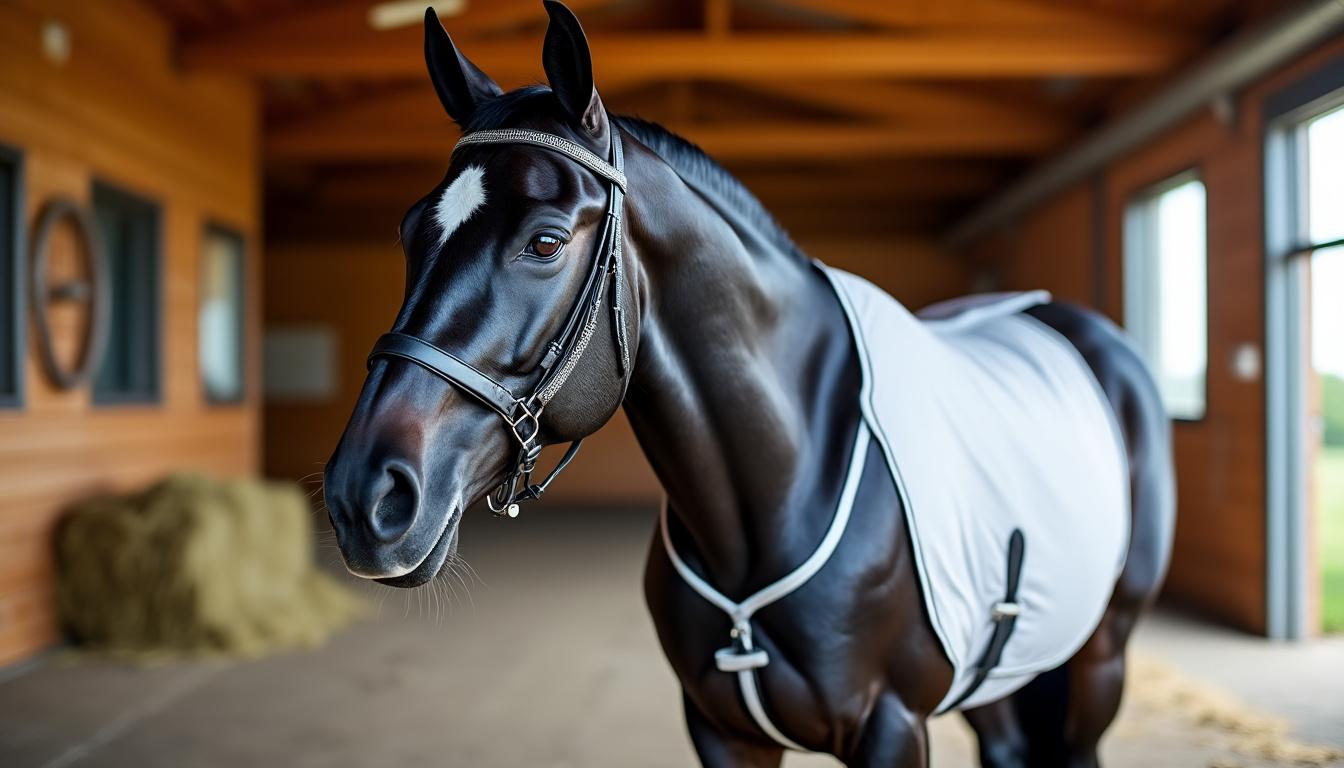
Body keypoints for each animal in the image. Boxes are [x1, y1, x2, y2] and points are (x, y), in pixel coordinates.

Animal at [323, 3, 1176, 765]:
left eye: (546, 242)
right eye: (411, 229)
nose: (364, 496)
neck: (782, 478)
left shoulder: (894, 728)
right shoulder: (720, 731)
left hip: (1101, 656)